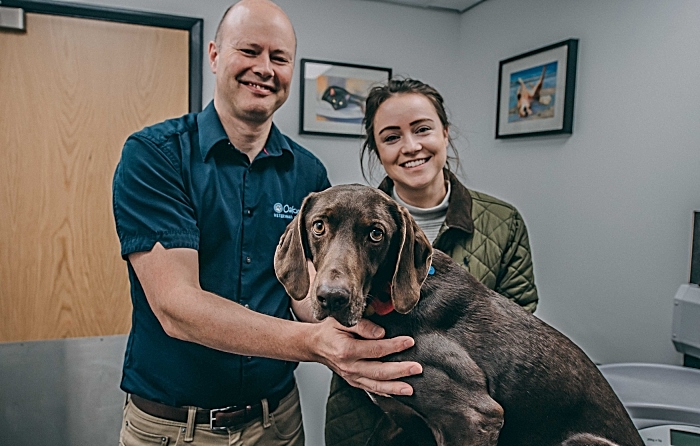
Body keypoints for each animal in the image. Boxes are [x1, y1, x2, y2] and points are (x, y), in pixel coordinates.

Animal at [274, 184, 644, 446]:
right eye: (319, 226)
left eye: (376, 233)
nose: (332, 298)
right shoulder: (397, 420)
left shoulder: (473, 417)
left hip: (582, 442)